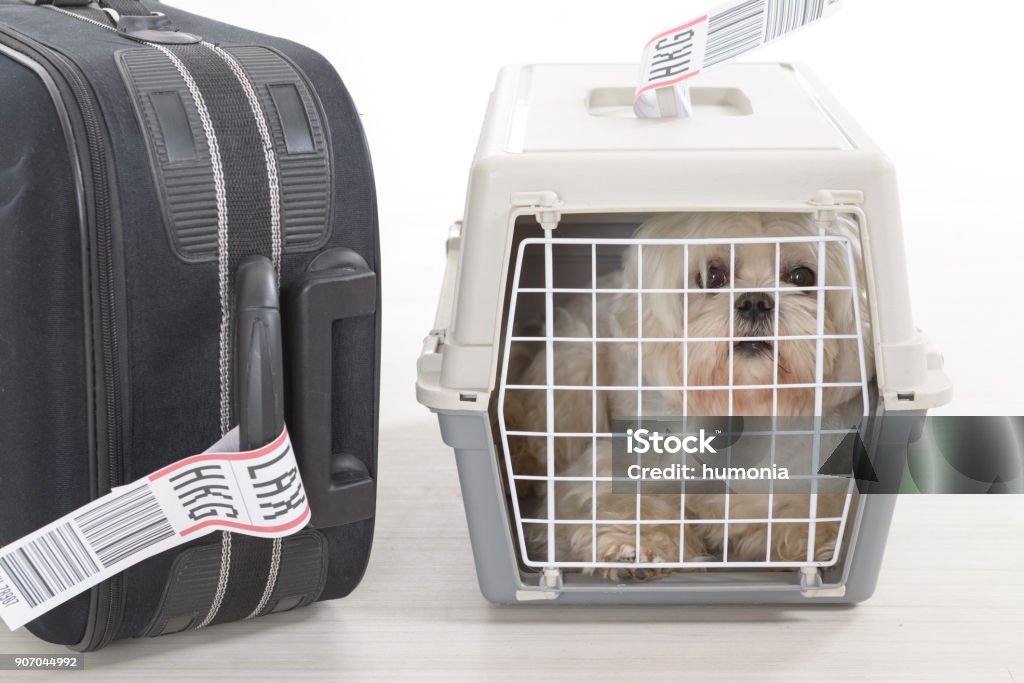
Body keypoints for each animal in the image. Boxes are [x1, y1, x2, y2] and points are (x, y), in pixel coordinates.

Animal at [501, 210, 872, 581]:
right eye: (713, 275)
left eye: (801, 276)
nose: (754, 301)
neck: (744, 400)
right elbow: (620, 499)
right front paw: (634, 548)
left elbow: (817, 511)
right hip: (574, 370)